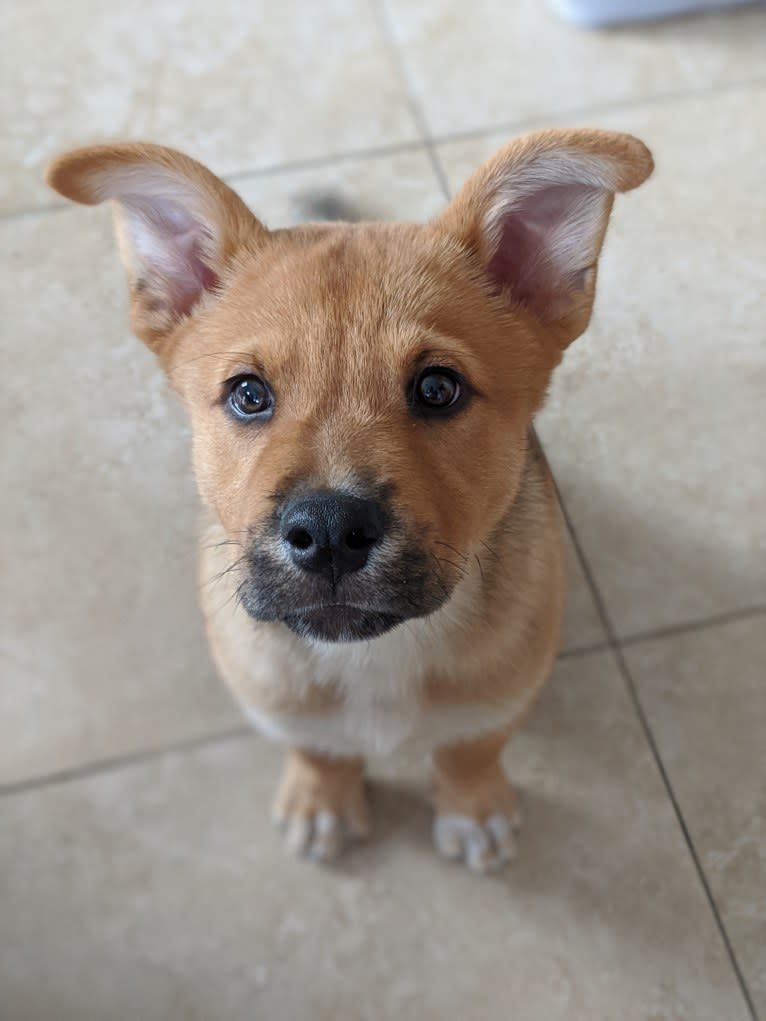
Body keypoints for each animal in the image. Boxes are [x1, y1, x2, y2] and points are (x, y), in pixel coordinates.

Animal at [46, 131, 653, 873]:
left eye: (438, 388)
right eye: (249, 393)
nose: (330, 531)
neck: (376, 657)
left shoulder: (505, 686)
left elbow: (470, 746)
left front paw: (472, 808)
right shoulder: (273, 695)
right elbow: (317, 745)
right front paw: (323, 800)